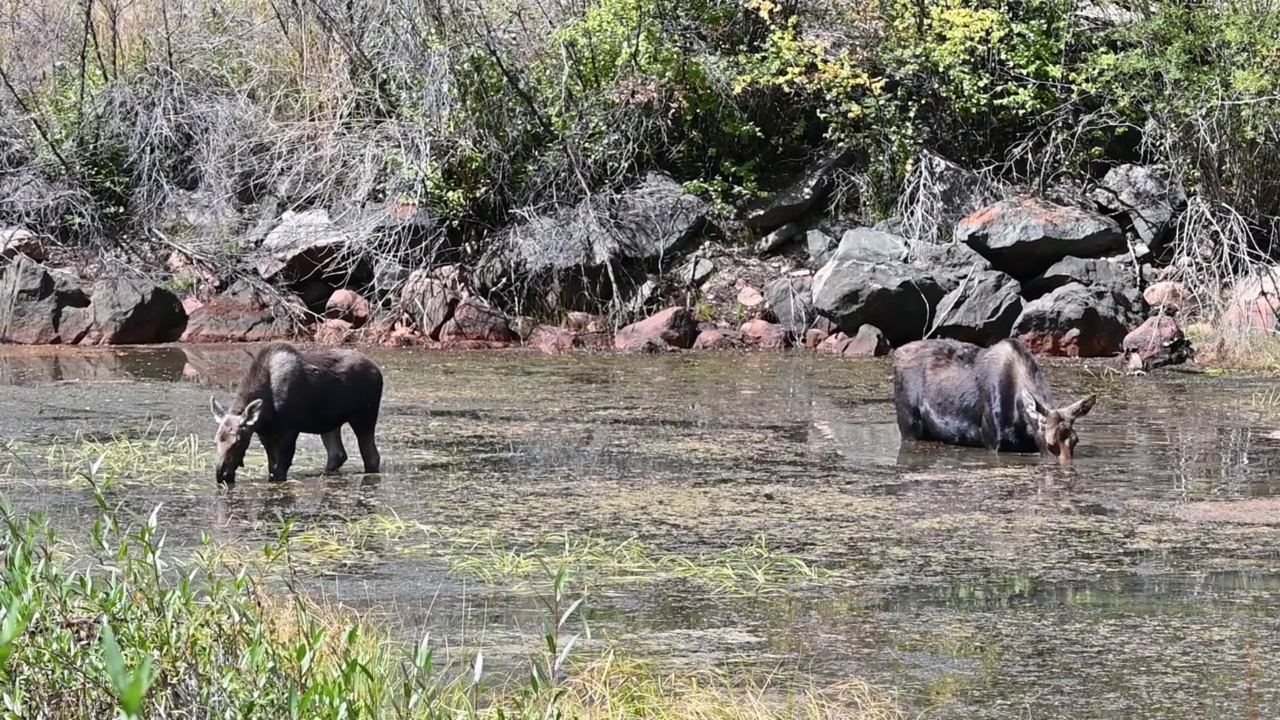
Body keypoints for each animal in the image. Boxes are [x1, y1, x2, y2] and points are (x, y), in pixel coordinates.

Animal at [209, 340, 384, 481]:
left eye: (238, 442)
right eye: (216, 440)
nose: (221, 474)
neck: (266, 412)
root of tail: (378, 372)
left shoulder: (290, 429)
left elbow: (281, 469)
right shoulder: (265, 433)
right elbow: (272, 468)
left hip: (364, 416)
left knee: (371, 456)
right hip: (329, 423)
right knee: (337, 454)